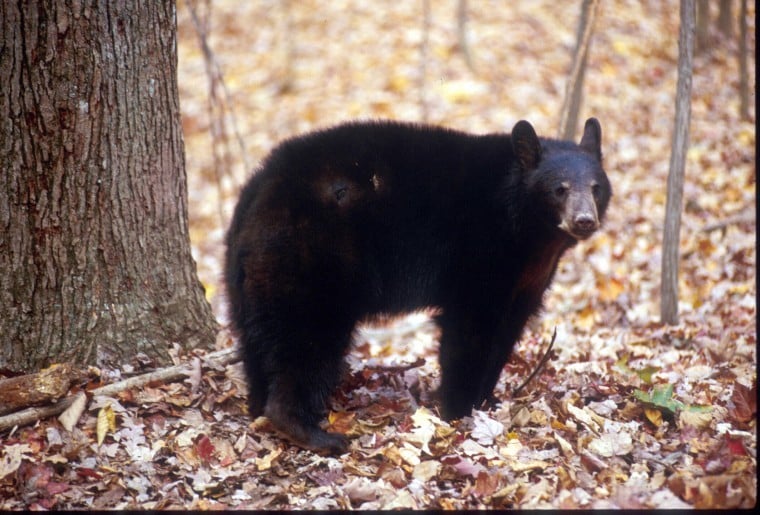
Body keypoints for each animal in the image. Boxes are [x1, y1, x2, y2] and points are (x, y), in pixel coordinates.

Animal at [226, 118, 612, 456]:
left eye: (596, 188)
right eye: (559, 189)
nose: (584, 220)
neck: (529, 230)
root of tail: (258, 191)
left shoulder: (529, 276)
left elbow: (508, 330)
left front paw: (488, 399)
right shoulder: (480, 251)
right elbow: (469, 328)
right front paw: (459, 409)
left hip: (248, 275)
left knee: (256, 336)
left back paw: (259, 404)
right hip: (310, 257)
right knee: (307, 338)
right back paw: (312, 432)